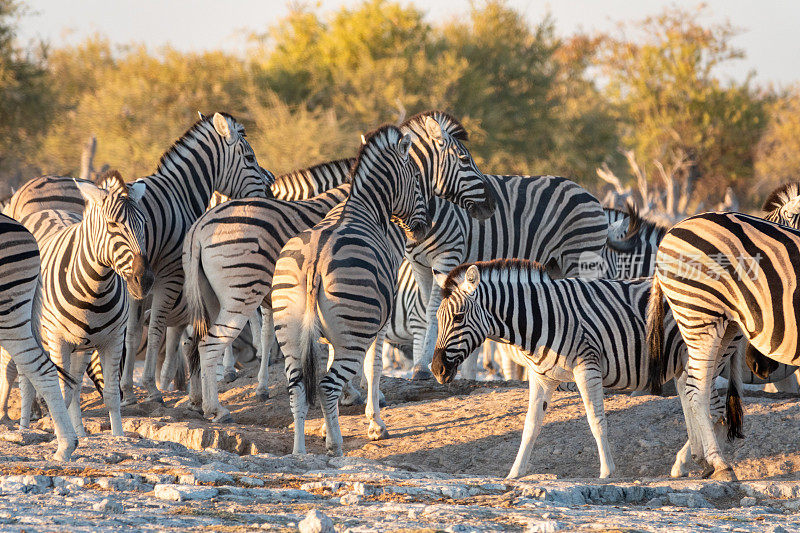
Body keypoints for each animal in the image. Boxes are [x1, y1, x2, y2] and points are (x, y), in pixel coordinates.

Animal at [4, 112, 276, 404]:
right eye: (249, 158)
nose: (269, 194)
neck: (179, 195)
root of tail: (16, 198)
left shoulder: (140, 279)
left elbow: (133, 334)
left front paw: (129, 390)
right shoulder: (169, 274)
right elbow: (156, 329)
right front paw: (152, 389)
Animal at [434, 258, 740, 478]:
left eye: (459, 317)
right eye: (437, 318)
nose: (436, 369)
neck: (541, 317)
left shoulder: (587, 368)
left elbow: (596, 420)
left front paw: (606, 472)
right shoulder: (540, 377)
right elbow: (530, 425)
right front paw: (515, 474)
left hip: (707, 356)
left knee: (710, 407)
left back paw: (710, 462)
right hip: (683, 363)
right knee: (696, 405)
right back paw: (695, 462)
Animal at [648, 210, 800, 480]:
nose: (757, 364)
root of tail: (674, 228)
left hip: (723, 326)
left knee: (690, 382)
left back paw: (700, 459)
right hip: (701, 317)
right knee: (695, 389)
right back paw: (719, 463)